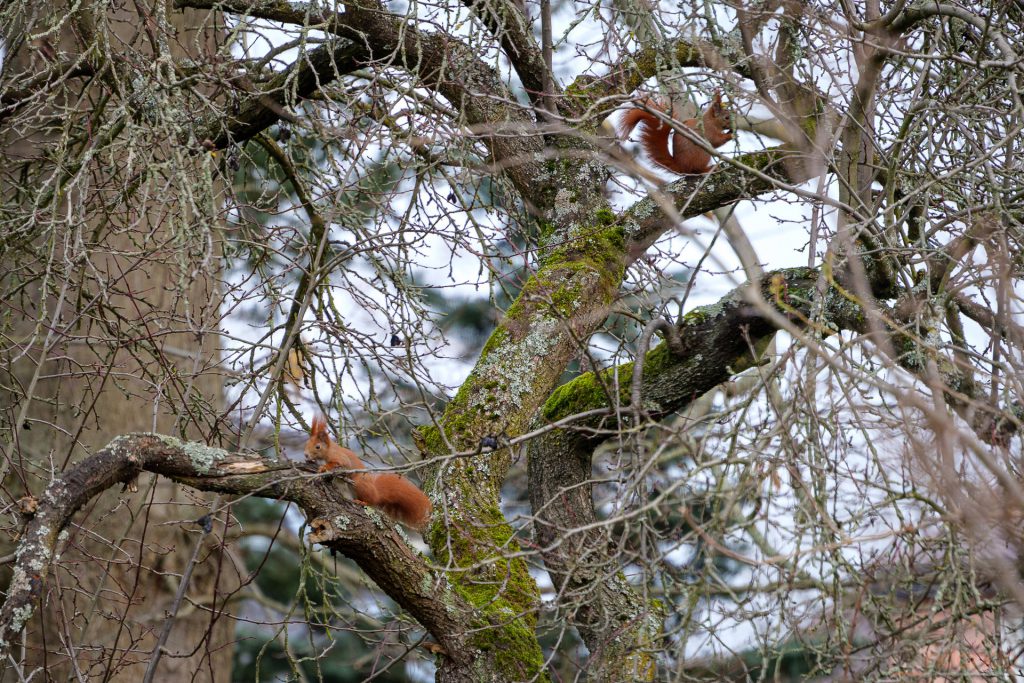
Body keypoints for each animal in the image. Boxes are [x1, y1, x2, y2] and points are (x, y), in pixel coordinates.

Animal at [303, 413, 432, 532]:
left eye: (318, 447)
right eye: (306, 444)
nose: (306, 455)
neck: (330, 450)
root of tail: (377, 494)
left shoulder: (340, 458)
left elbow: (337, 463)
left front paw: (323, 467)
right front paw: (311, 461)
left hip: (359, 484)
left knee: (370, 501)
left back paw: (362, 502)